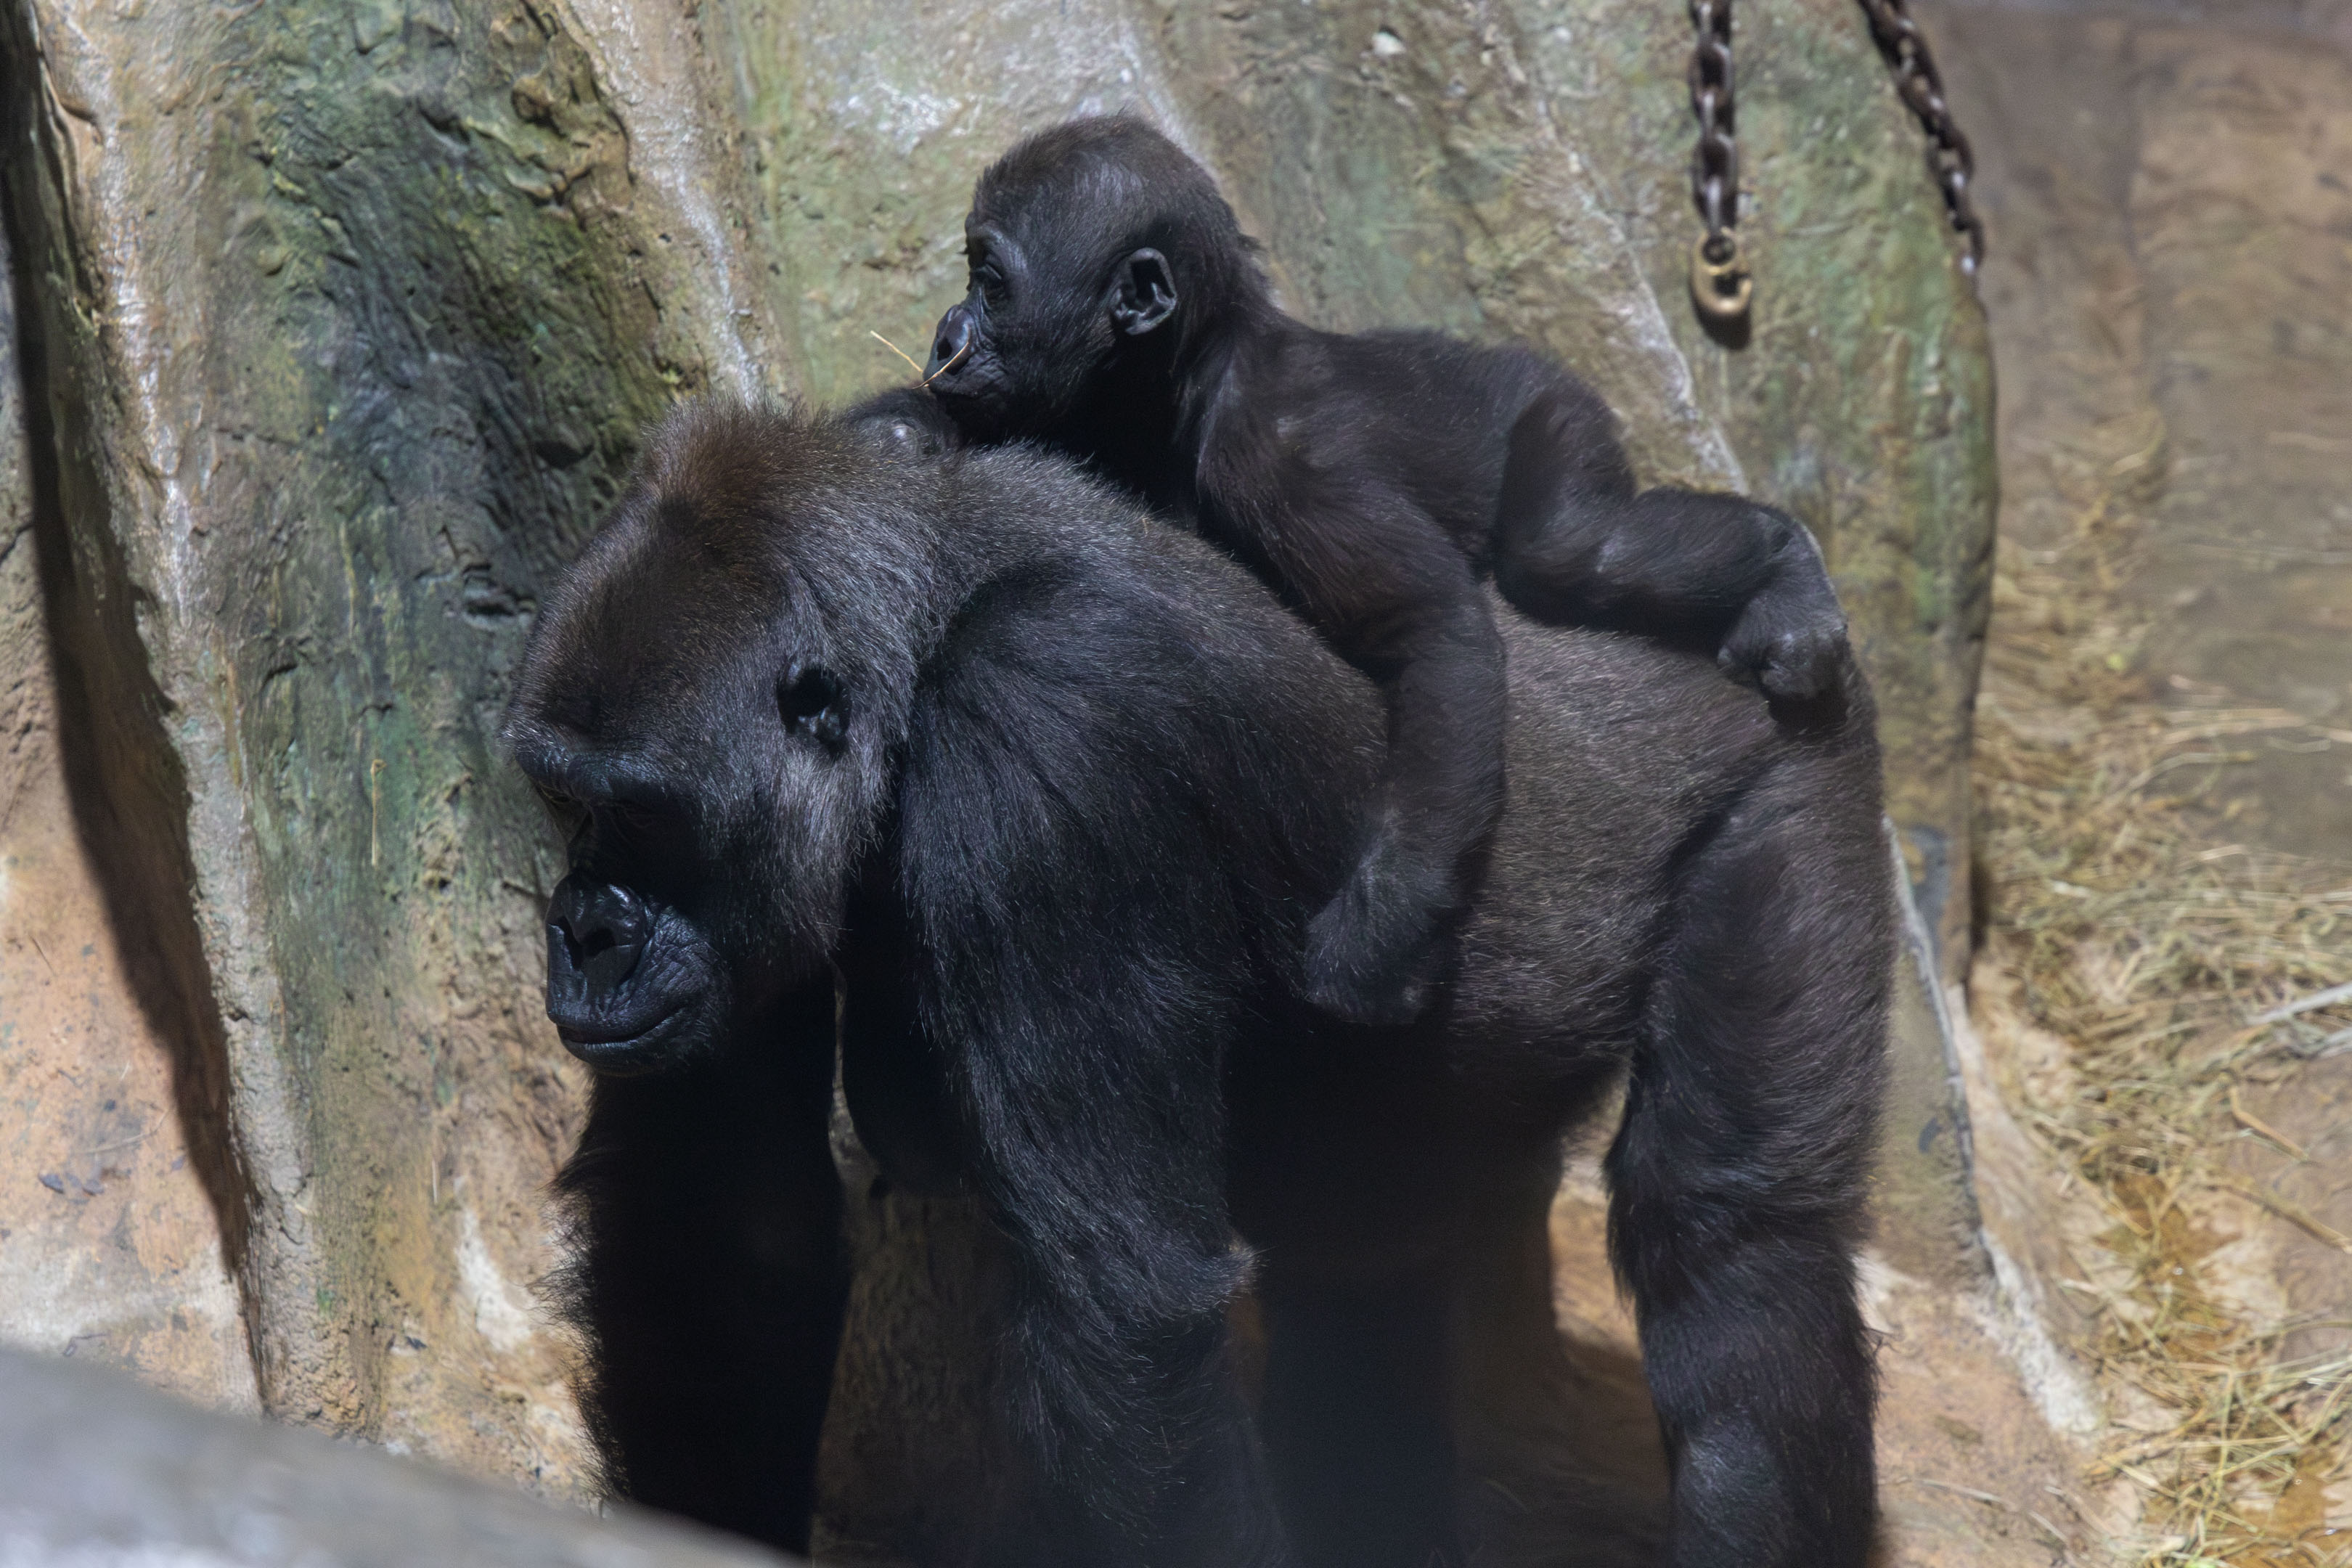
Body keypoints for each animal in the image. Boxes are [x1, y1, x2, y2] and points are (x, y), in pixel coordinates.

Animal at [501, 401, 1890, 1568]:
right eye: (565, 799)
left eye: (645, 815)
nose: (588, 933)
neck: (932, 631)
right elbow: (725, 1220)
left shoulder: (1047, 728)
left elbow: (1125, 1306)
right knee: (1363, 1278)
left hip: (1792, 752)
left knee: (1734, 1249)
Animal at [856, 113, 1844, 1029]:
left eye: (991, 282)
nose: (945, 332)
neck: (1189, 370)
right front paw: (901, 429)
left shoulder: (1279, 459)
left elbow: (1432, 629)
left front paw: (1383, 932)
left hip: (1554, 409)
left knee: (1569, 548)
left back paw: (1786, 569)